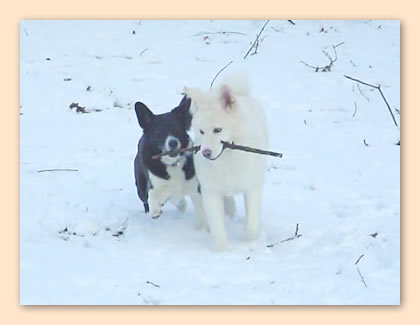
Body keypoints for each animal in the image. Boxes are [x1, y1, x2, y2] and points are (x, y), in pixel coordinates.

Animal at [135, 95, 207, 229]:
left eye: (177, 129)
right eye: (158, 132)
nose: (173, 142)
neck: (173, 164)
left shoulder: (195, 187)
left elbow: (201, 210)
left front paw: (203, 229)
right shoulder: (156, 183)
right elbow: (152, 194)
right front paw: (155, 210)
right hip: (140, 186)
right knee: (146, 197)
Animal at [185, 74, 270, 251]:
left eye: (217, 130)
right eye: (201, 131)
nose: (206, 153)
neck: (227, 160)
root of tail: (241, 93)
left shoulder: (252, 187)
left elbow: (252, 226)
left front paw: (249, 235)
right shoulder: (211, 192)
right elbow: (217, 227)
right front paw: (220, 251)